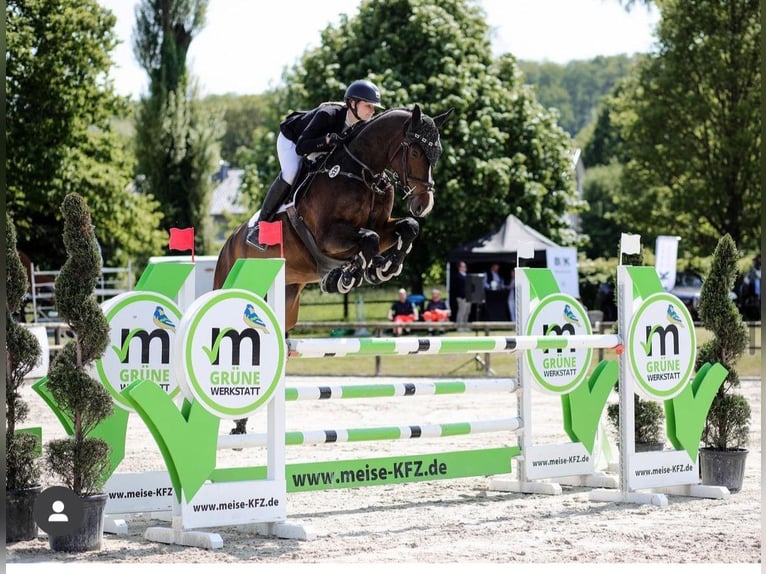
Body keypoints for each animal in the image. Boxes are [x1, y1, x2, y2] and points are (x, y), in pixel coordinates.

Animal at [213, 104, 452, 332]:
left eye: (438, 153)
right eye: (415, 153)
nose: (424, 204)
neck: (363, 172)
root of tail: (229, 243)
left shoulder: (381, 226)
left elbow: (408, 227)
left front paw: (384, 269)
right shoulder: (326, 237)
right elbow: (370, 239)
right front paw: (344, 278)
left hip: (287, 298)